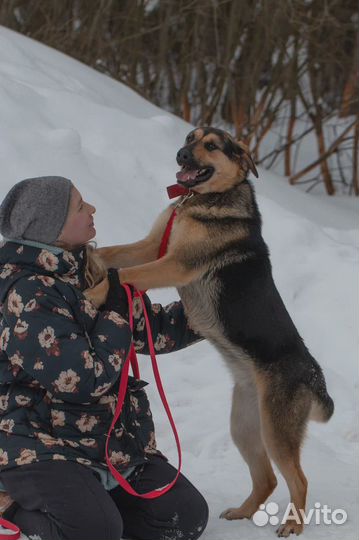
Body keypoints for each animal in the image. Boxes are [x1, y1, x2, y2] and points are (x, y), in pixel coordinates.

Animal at [86, 125, 336, 536]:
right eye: (191, 137)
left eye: (212, 146)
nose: (180, 154)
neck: (199, 199)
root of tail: (313, 375)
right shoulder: (152, 246)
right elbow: (112, 255)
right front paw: (83, 261)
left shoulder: (173, 263)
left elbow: (125, 273)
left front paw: (91, 290)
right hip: (244, 426)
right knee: (267, 478)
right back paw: (242, 512)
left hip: (276, 431)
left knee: (298, 479)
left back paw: (292, 526)